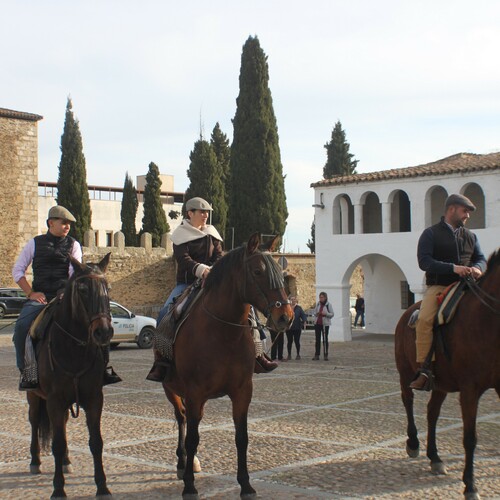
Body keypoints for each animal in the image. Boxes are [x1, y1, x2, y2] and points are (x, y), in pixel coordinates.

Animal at [27, 254, 114, 500]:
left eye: (108, 287)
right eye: (82, 289)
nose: (103, 332)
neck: (74, 348)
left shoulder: (94, 398)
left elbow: (96, 442)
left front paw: (102, 486)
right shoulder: (54, 400)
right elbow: (56, 443)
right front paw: (58, 489)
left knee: (63, 425)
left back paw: (66, 461)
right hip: (34, 396)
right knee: (34, 422)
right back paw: (35, 461)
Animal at [160, 233, 292, 496]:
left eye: (280, 274)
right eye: (258, 271)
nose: (286, 316)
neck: (223, 333)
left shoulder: (242, 391)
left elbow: (242, 437)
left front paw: (246, 484)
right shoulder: (195, 392)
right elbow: (192, 437)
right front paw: (189, 485)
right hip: (171, 388)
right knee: (181, 419)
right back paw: (182, 463)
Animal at [396, 248, 498, 498]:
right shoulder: (469, 389)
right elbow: (469, 438)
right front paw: (470, 485)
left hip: (440, 382)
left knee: (432, 412)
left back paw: (435, 457)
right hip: (405, 371)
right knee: (408, 400)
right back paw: (413, 443)